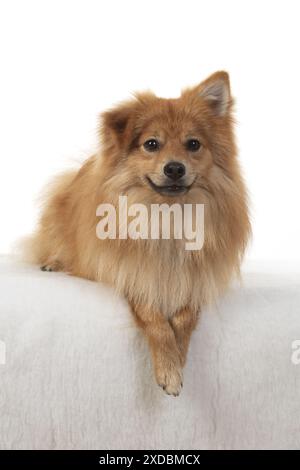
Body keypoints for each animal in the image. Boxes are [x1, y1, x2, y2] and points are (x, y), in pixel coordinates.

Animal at [24, 71, 251, 396]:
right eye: (151, 144)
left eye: (193, 144)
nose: (174, 168)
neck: (168, 218)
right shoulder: (132, 275)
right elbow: (154, 319)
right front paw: (168, 367)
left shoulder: (197, 281)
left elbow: (184, 318)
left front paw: (178, 358)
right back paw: (53, 263)